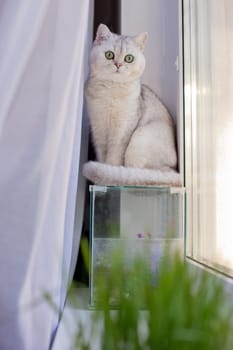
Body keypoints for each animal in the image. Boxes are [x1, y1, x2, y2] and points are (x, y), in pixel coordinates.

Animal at [83, 24, 181, 186]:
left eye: (129, 58)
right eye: (109, 55)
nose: (118, 65)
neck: (111, 92)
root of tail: (175, 171)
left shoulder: (122, 131)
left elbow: (113, 158)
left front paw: (108, 173)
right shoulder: (98, 130)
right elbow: (102, 156)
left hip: (140, 137)